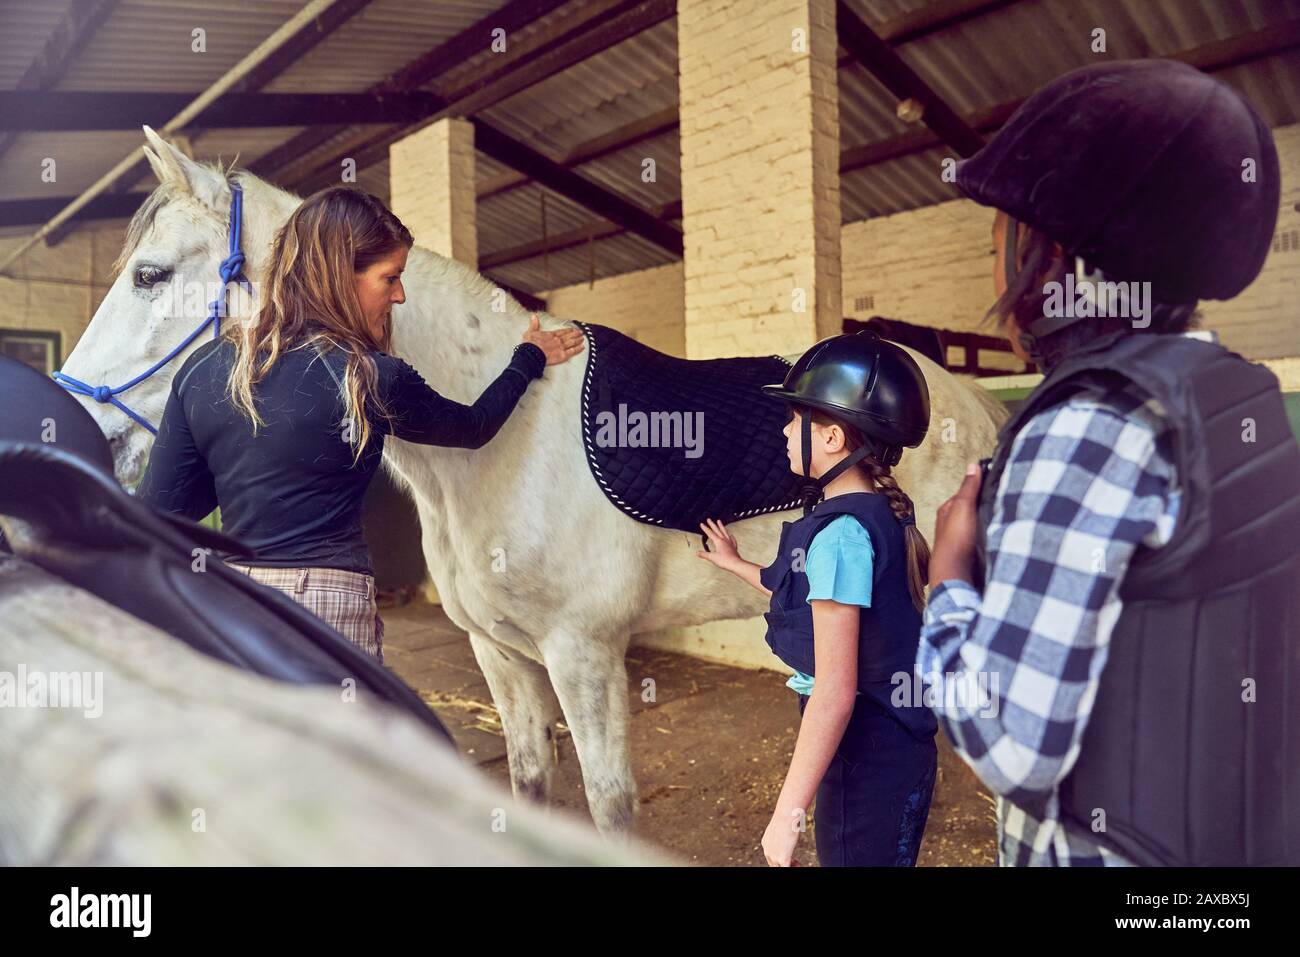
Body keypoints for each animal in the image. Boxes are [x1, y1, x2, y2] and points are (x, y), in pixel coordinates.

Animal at [58, 128, 1003, 837]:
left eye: (148, 274)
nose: (80, 425)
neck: (501, 446)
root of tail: (977, 408)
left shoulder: (584, 656)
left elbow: (611, 808)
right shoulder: (500, 655)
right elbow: (530, 783)